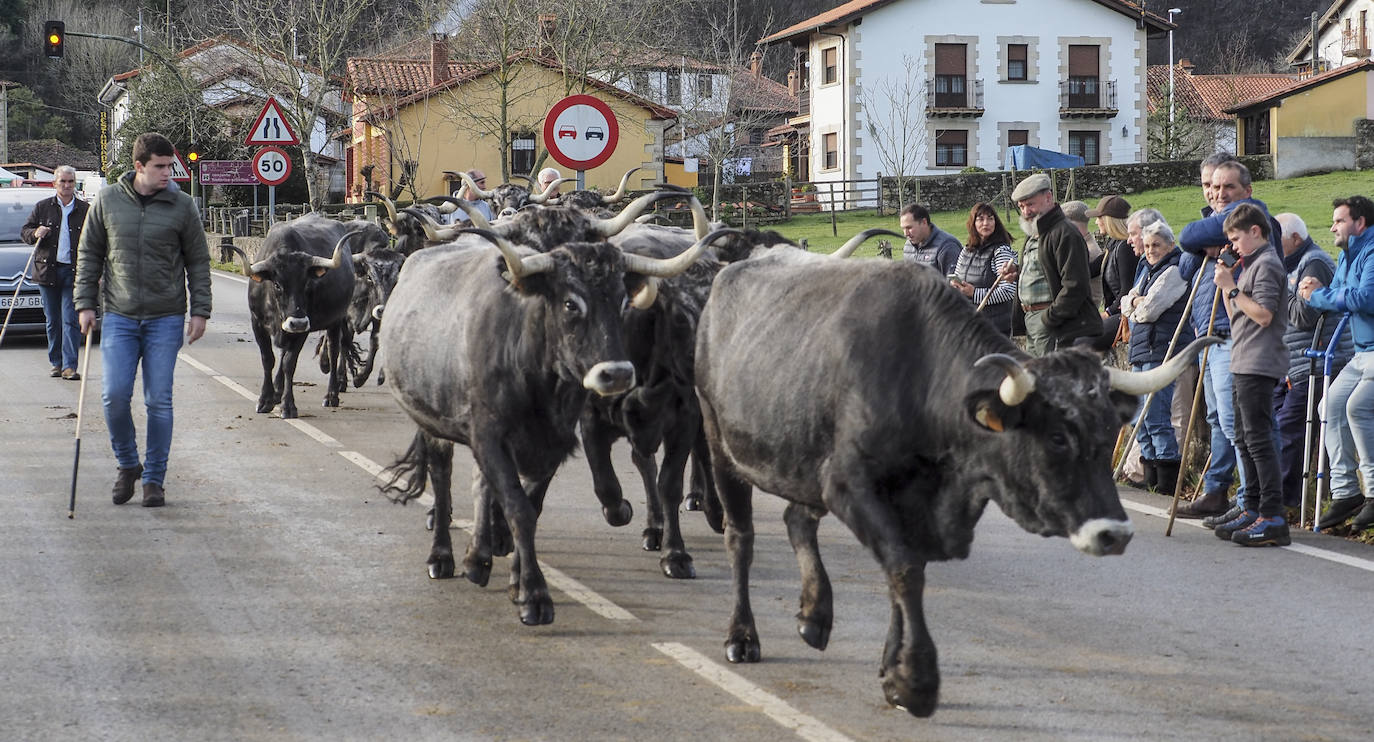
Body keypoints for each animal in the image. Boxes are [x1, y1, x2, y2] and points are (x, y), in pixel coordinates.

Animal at [233, 212, 359, 417]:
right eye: (277, 284)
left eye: (308, 283)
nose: (297, 323)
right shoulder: (257, 323)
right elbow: (268, 359)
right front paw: (265, 399)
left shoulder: (304, 328)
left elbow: (289, 364)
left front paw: (288, 406)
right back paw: (277, 390)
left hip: (336, 321)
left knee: (333, 351)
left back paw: (331, 396)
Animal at [376, 223, 719, 626]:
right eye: (571, 303)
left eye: (623, 302)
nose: (616, 374)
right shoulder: (493, 437)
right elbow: (519, 508)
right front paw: (534, 595)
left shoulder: (555, 442)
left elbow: (531, 504)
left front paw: (515, 578)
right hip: (433, 425)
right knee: (443, 479)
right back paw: (442, 556)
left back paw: (478, 558)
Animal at [697, 255, 1214, 714]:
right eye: (1056, 436)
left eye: (1108, 433)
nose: (1114, 534)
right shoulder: (848, 485)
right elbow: (905, 571)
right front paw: (916, 681)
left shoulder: (910, 504)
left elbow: (900, 576)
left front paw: (893, 671)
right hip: (719, 442)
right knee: (740, 537)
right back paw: (741, 636)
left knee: (796, 518)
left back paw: (814, 617)